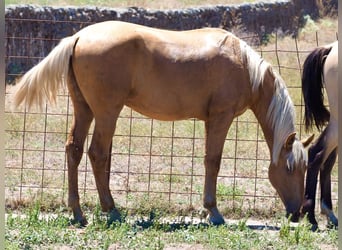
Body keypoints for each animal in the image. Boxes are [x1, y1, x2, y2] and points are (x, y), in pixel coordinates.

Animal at [12, 20, 312, 226]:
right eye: (289, 167)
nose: (297, 213)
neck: (244, 65)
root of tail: (78, 36)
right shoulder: (220, 117)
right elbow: (213, 161)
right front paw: (213, 212)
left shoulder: (210, 121)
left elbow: (209, 161)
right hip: (107, 112)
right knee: (97, 154)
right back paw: (112, 210)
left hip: (84, 109)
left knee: (74, 150)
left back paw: (78, 213)